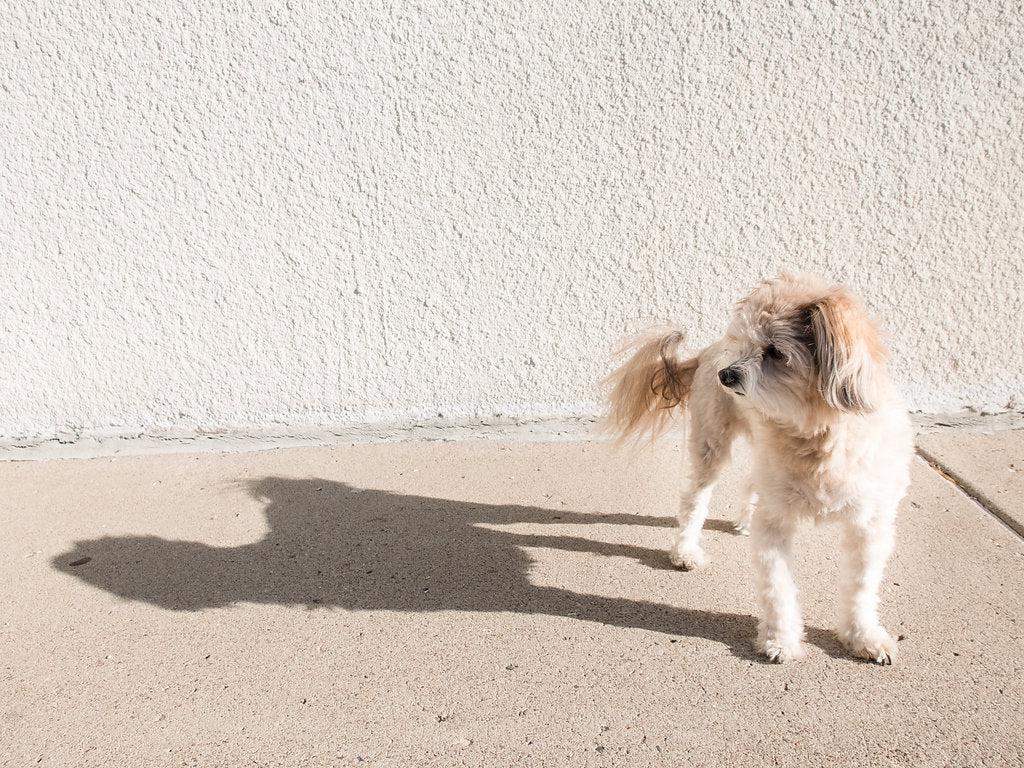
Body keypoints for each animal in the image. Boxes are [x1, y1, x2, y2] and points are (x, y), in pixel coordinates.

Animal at [598, 274, 913, 663]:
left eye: (776, 352)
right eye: (744, 343)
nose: (726, 375)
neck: (817, 435)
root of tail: (709, 350)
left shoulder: (869, 525)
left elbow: (860, 588)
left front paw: (863, 635)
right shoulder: (774, 523)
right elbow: (778, 588)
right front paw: (781, 639)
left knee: (751, 480)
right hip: (711, 445)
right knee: (694, 501)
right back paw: (685, 550)